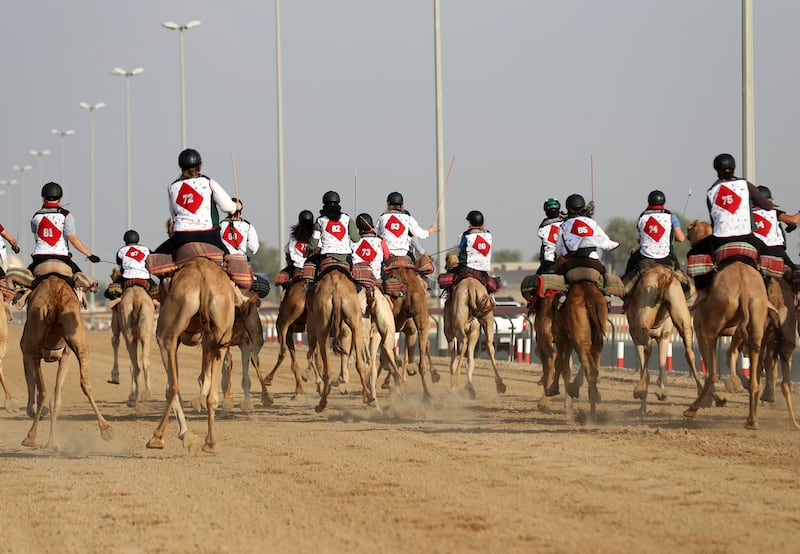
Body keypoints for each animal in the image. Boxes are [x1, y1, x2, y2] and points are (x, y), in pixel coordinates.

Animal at [19, 272, 112, 448]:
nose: (96, 285)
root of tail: (55, 298)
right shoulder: (64, 356)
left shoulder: (27, 352)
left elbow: (31, 388)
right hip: (76, 333)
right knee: (83, 383)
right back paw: (105, 429)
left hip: (34, 343)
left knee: (43, 392)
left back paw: (31, 438)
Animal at [147, 256, 236, 450]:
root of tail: (204, 281)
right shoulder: (208, 340)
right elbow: (204, 377)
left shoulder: (175, 340)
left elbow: (173, 385)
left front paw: (184, 434)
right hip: (222, 329)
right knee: (212, 395)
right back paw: (211, 443)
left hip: (167, 334)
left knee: (172, 386)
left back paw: (157, 438)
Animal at [444, 254, 506, 396]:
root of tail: (471, 288)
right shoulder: (474, 330)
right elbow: (468, 358)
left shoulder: (448, 332)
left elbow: (453, 359)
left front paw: (454, 385)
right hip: (485, 317)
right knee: (488, 345)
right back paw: (499, 385)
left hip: (459, 319)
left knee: (463, 342)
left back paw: (456, 383)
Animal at [552, 280, 608, 422]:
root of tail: (589, 297)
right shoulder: (570, 338)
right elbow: (567, 366)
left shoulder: (561, 336)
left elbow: (560, 363)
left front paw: (553, 389)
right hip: (597, 330)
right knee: (594, 363)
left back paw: (591, 416)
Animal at [680, 220, 768, 426]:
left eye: (689, 232)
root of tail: (744, 291)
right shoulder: (736, 331)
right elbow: (731, 353)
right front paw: (737, 383)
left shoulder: (701, 331)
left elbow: (710, 364)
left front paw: (715, 399)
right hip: (757, 313)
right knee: (755, 370)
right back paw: (752, 419)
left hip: (712, 324)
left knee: (712, 373)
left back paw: (692, 409)